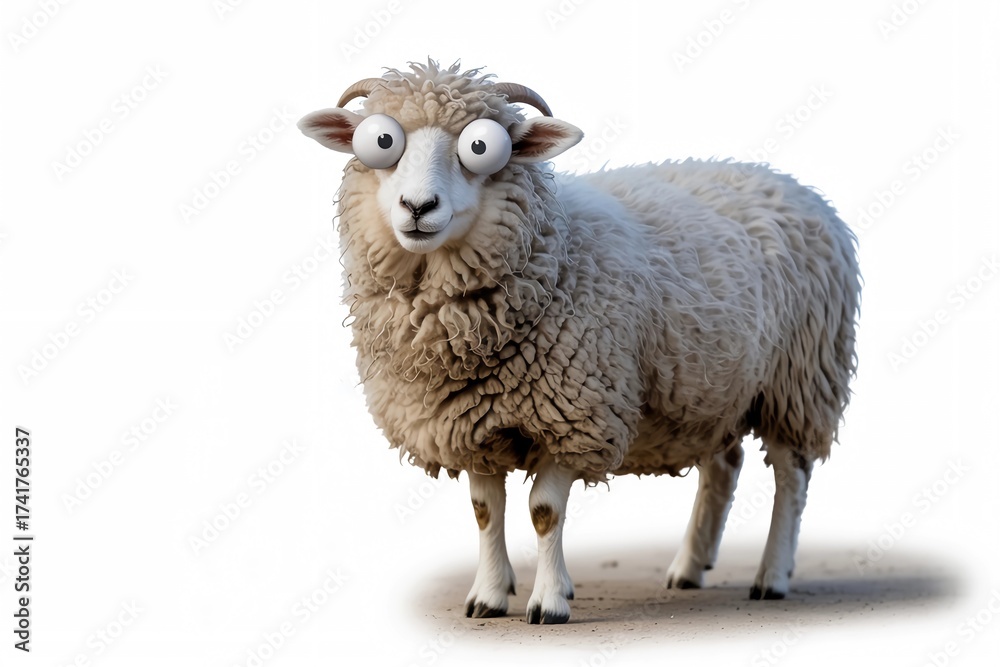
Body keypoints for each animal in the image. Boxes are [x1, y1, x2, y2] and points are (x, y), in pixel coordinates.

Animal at [298, 59, 861, 625]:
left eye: (480, 147)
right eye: (381, 142)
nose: (418, 206)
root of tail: (788, 182)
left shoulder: (576, 418)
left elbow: (544, 512)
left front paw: (549, 602)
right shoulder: (471, 425)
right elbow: (485, 512)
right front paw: (488, 595)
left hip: (798, 382)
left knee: (791, 478)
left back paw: (772, 575)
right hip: (711, 385)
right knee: (724, 467)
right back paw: (689, 567)